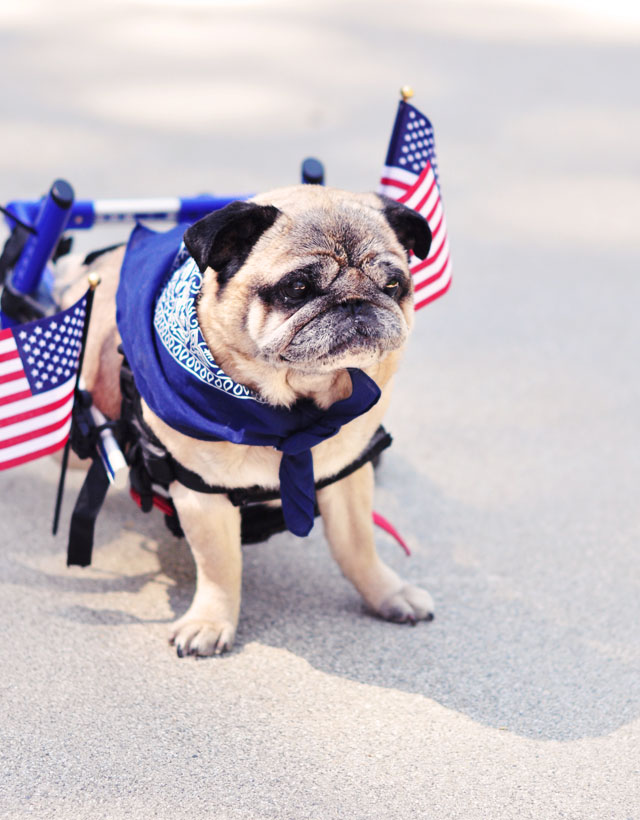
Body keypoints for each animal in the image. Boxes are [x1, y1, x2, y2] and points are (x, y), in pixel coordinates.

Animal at [65, 184, 436, 652]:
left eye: (393, 284)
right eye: (297, 287)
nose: (355, 302)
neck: (294, 412)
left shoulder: (348, 475)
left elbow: (358, 547)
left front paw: (387, 593)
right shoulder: (202, 493)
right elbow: (221, 567)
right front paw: (211, 621)